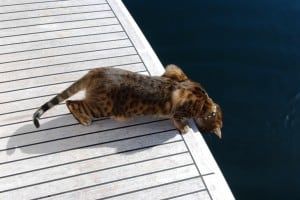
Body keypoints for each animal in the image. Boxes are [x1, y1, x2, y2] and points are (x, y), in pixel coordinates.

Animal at [34, 65, 224, 138]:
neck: (206, 101)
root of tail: (95, 71)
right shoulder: (179, 107)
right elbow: (177, 118)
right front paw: (184, 127)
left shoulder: (174, 71)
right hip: (102, 107)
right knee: (72, 103)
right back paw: (84, 119)